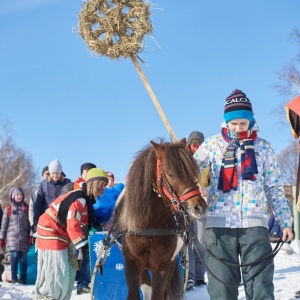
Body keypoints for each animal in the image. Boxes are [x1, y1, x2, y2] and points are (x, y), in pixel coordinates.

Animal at [111, 139, 207, 300]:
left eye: (192, 172)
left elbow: (159, 294)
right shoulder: (132, 265)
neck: (150, 227)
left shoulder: (162, 267)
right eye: (171, 174)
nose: (199, 207)